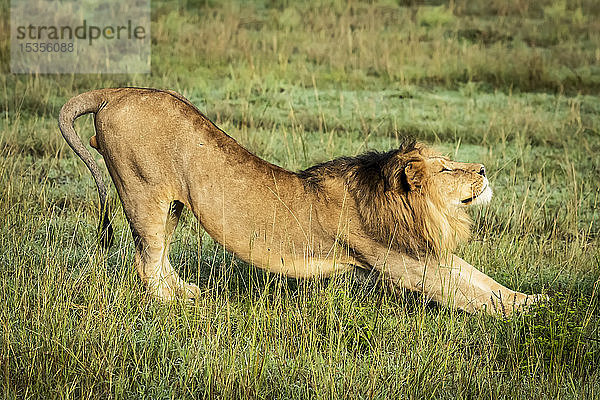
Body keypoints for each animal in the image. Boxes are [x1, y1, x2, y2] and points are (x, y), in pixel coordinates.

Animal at [59, 87, 544, 316]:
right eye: (445, 170)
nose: (482, 170)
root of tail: (114, 93)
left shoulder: (424, 253)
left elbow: (482, 279)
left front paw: (533, 300)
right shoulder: (404, 263)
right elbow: (469, 294)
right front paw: (517, 317)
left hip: (174, 205)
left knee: (158, 259)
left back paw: (188, 292)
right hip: (143, 192)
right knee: (147, 263)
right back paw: (174, 304)